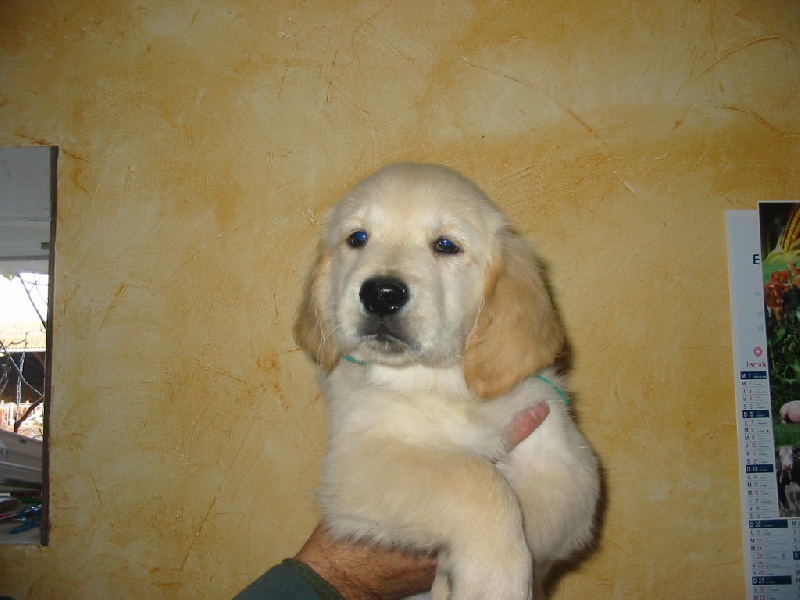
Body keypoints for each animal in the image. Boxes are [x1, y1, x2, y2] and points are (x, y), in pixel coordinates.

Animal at [294, 163, 600, 599]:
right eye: (357, 238)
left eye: (446, 245)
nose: (381, 293)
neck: (438, 383)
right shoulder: (352, 463)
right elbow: (475, 478)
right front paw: (493, 581)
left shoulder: (570, 470)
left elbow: (528, 513)